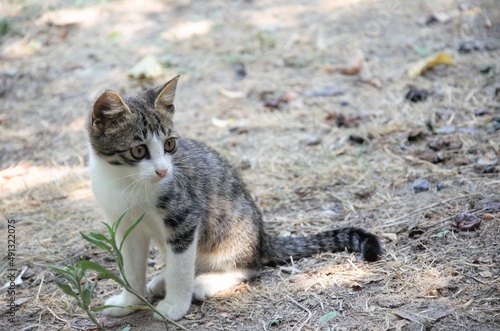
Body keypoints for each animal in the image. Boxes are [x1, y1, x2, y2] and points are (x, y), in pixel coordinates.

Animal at [87, 76, 382, 322]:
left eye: (169, 144)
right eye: (139, 150)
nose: (163, 170)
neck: (127, 183)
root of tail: (263, 237)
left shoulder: (186, 217)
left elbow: (180, 268)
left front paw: (175, 306)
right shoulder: (126, 226)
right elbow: (131, 267)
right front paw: (128, 302)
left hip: (233, 226)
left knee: (248, 266)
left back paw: (201, 283)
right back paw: (163, 280)